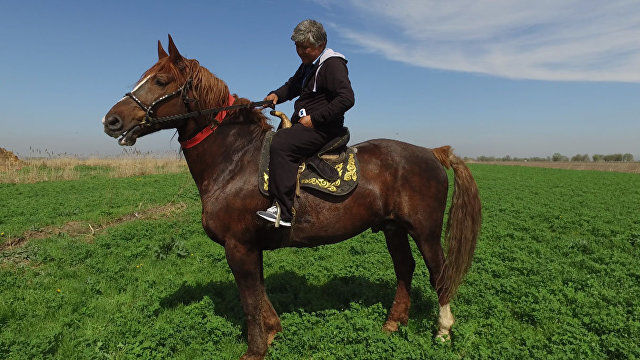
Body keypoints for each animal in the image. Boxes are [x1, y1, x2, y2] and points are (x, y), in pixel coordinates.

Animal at [101, 35, 480, 360]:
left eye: (161, 81)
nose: (112, 120)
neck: (235, 160)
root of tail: (432, 152)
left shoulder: (238, 247)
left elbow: (249, 299)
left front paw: (255, 349)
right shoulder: (251, 247)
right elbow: (260, 292)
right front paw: (272, 331)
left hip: (425, 231)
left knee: (439, 272)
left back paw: (443, 331)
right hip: (393, 228)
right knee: (405, 268)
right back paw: (393, 322)